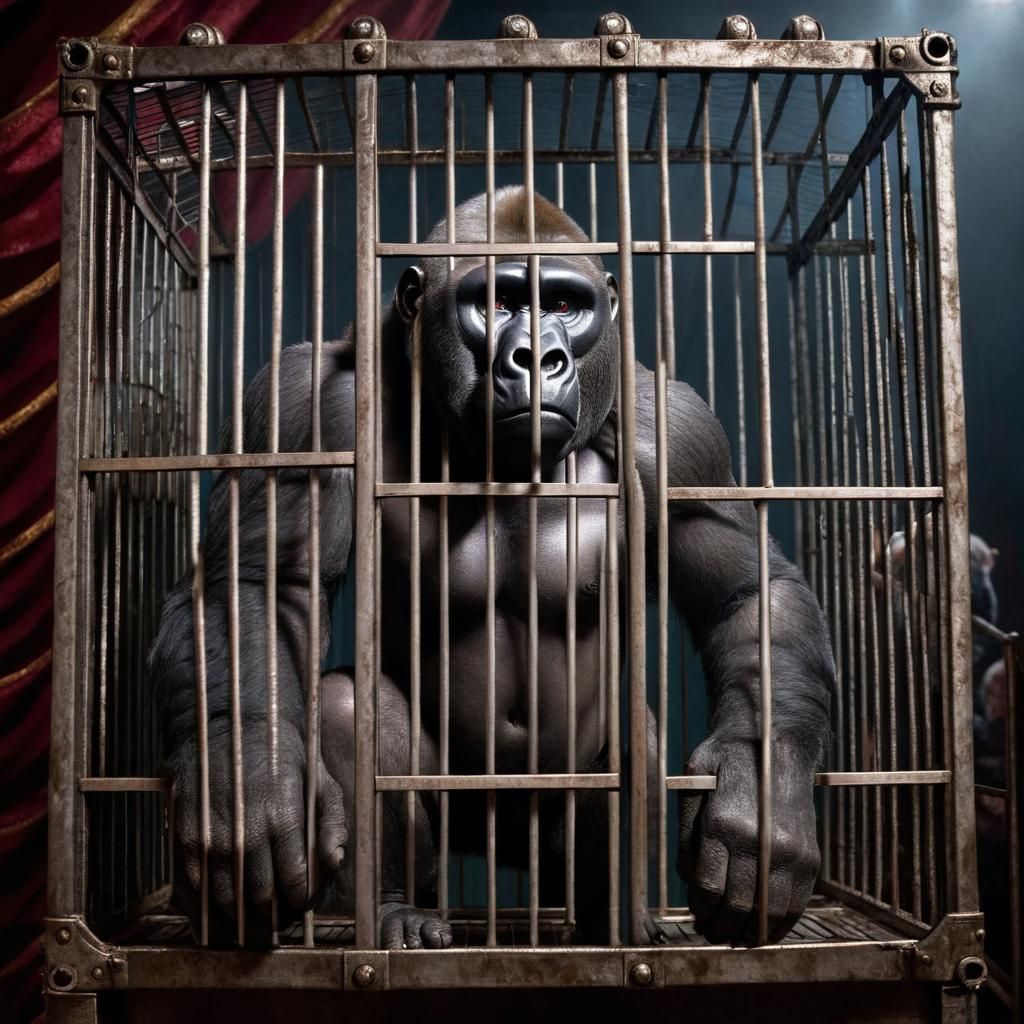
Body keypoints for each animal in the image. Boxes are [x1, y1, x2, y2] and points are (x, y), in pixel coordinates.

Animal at [150, 186, 834, 950]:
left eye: (564, 304)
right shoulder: (304, 404)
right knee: (350, 708)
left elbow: (745, 593)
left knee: (632, 726)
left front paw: (760, 794)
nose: (540, 358)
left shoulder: (680, 433)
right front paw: (251, 782)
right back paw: (396, 910)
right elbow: (263, 584)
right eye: (499, 301)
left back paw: (616, 920)